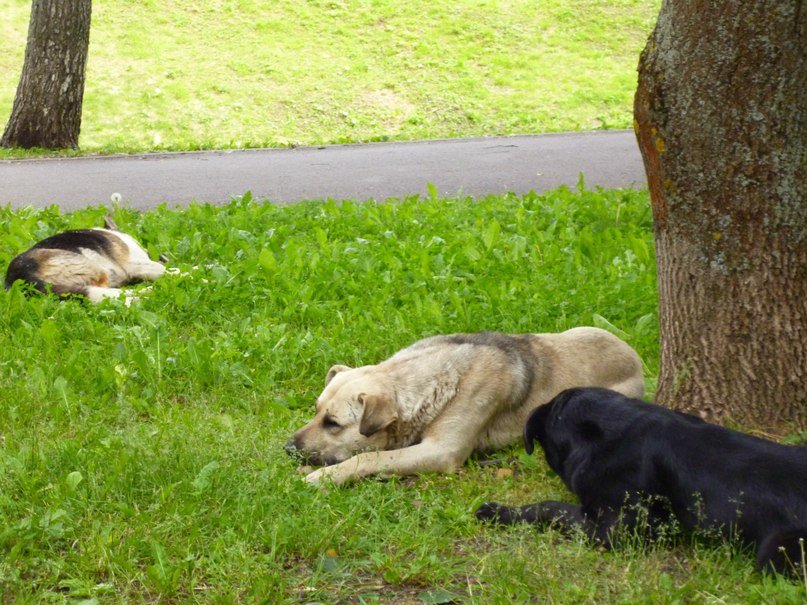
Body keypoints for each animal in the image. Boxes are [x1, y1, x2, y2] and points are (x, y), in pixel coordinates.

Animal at [288, 328, 648, 484]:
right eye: (316, 411)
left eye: (333, 423)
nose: (286, 448)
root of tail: (634, 356)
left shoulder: (440, 451)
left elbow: (367, 458)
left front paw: (324, 477)